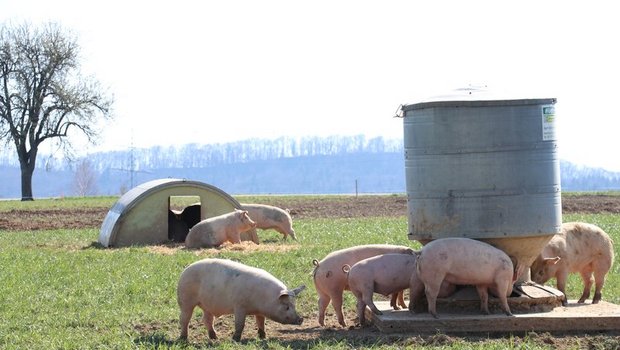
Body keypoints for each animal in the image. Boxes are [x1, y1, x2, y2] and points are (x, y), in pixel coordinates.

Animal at [176, 258, 304, 342]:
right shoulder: (239, 306)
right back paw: (183, 339)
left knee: (207, 319)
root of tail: (184, 270)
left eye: (294, 305)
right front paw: (235, 340)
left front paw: (263, 337)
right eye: (286, 306)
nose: (301, 319)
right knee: (184, 319)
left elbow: (261, 322)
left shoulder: (259, 312)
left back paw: (215, 338)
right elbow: (240, 324)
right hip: (185, 300)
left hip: (207, 305)